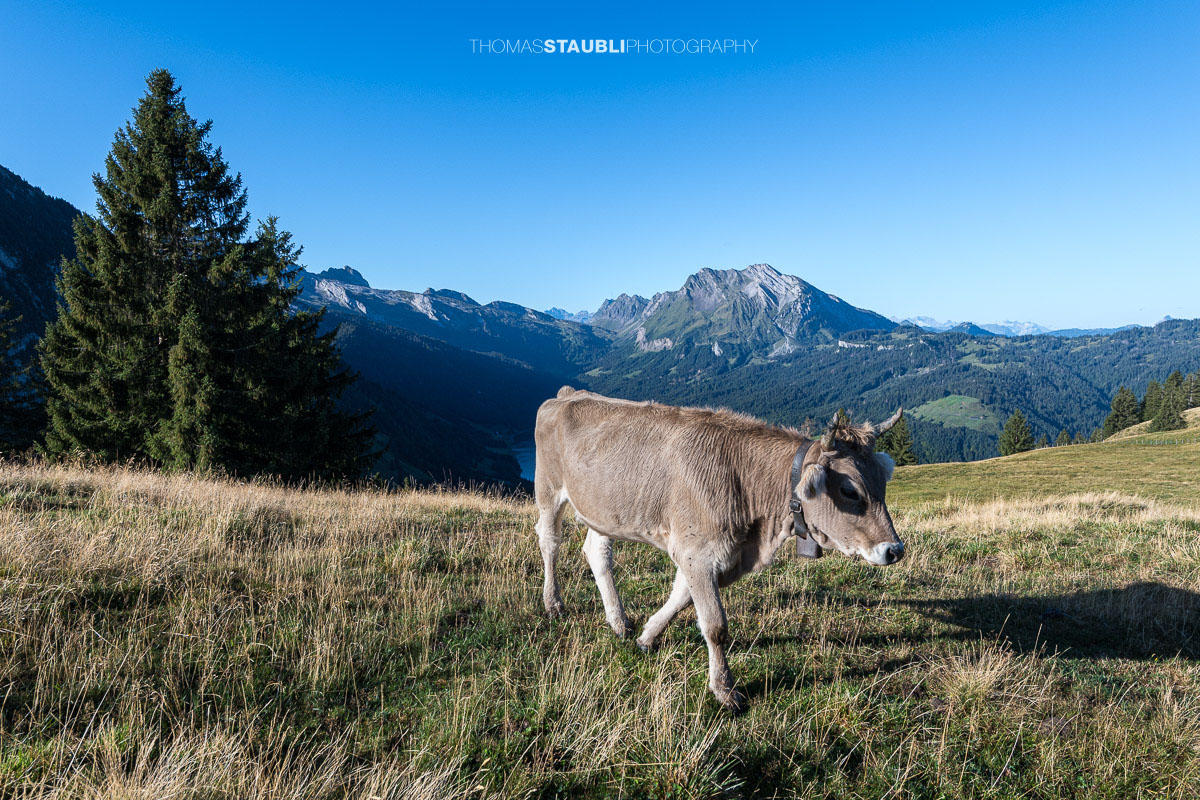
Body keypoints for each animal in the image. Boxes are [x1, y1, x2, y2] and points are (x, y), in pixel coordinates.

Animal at [533, 387, 905, 712]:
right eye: (849, 490)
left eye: (883, 483)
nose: (894, 550)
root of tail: (567, 394)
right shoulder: (697, 550)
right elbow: (715, 625)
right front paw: (725, 690)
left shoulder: (710, 554)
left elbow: (681, 597)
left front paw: (647, 636)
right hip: (548, 489)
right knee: (549, 542)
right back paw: (553, 604)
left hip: (602, 511)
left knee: (597, 552)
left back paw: (619, 622)